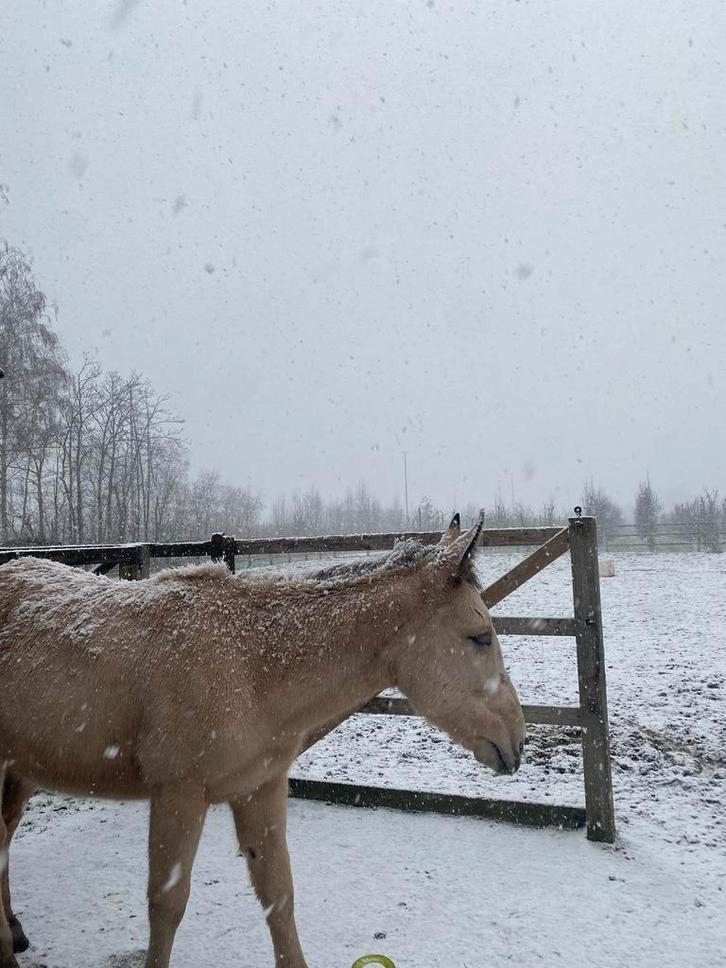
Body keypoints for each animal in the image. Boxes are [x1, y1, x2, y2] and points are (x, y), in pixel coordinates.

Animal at [0, 512, 526, 968]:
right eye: (480, 636)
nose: (517, 742)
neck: (251, 661)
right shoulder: (178, 795)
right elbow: (166, 907)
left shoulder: (261, 787)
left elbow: (279, 893)